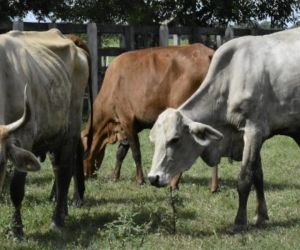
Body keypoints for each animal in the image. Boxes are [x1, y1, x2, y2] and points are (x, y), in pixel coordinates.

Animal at [0, 29, 90, 238]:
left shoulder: (24, 137)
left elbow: (16, 188)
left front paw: (17, 231)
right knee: (58, 169)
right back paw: (63, 209)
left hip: (71, 130)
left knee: (64, 171)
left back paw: (57, 219)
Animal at [82, 43, 218, 191]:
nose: (84, 175)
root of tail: (207, 51)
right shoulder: (127, 126)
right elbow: (121, 152)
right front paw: (115, 177)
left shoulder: (127, 119)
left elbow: (136, 152)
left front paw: (140, 180)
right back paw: (213, 187)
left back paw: (173, 184)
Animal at [147, 26, 300, 230]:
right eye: (154, 141)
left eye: (175, 139)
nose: (153, 178)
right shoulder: (248, 136)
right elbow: (258, 176)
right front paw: (260, 216)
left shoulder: (254, 130)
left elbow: (245, 179)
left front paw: (240, 221)